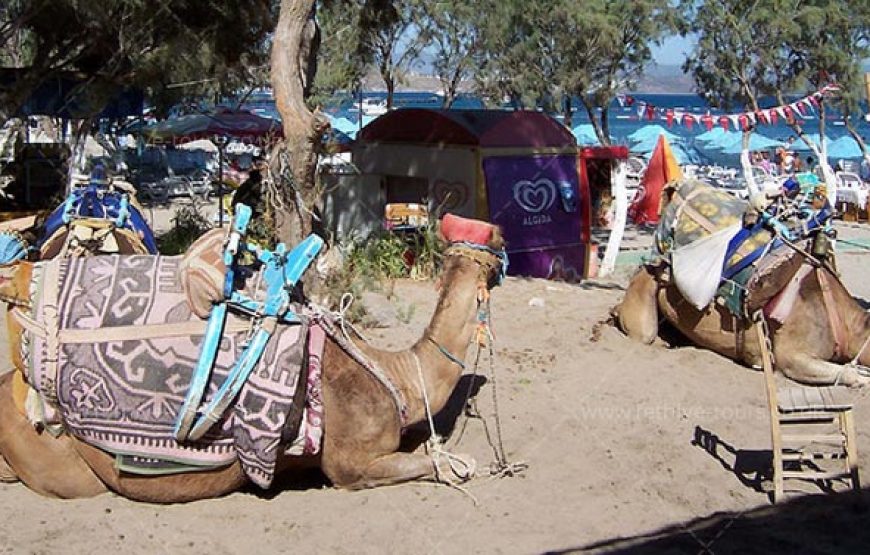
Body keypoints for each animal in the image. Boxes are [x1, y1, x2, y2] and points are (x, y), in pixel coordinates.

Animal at [0, 214, 507, 502]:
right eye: (496, 247)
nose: (506, 240)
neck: (400, 375)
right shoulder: (350, 464)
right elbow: (444, 465)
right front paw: (465, 465)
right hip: (65, 462)